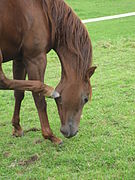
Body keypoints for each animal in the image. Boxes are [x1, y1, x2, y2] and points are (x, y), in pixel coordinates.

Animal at [0, 0, 96, 143]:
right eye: (85, 99)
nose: (72, 132)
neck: (44, 12)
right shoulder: (36, 59)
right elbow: (39, 100)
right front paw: (49, 135)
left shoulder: (19, 59)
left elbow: (18, 94)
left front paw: (17, 128)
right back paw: (50, 91)